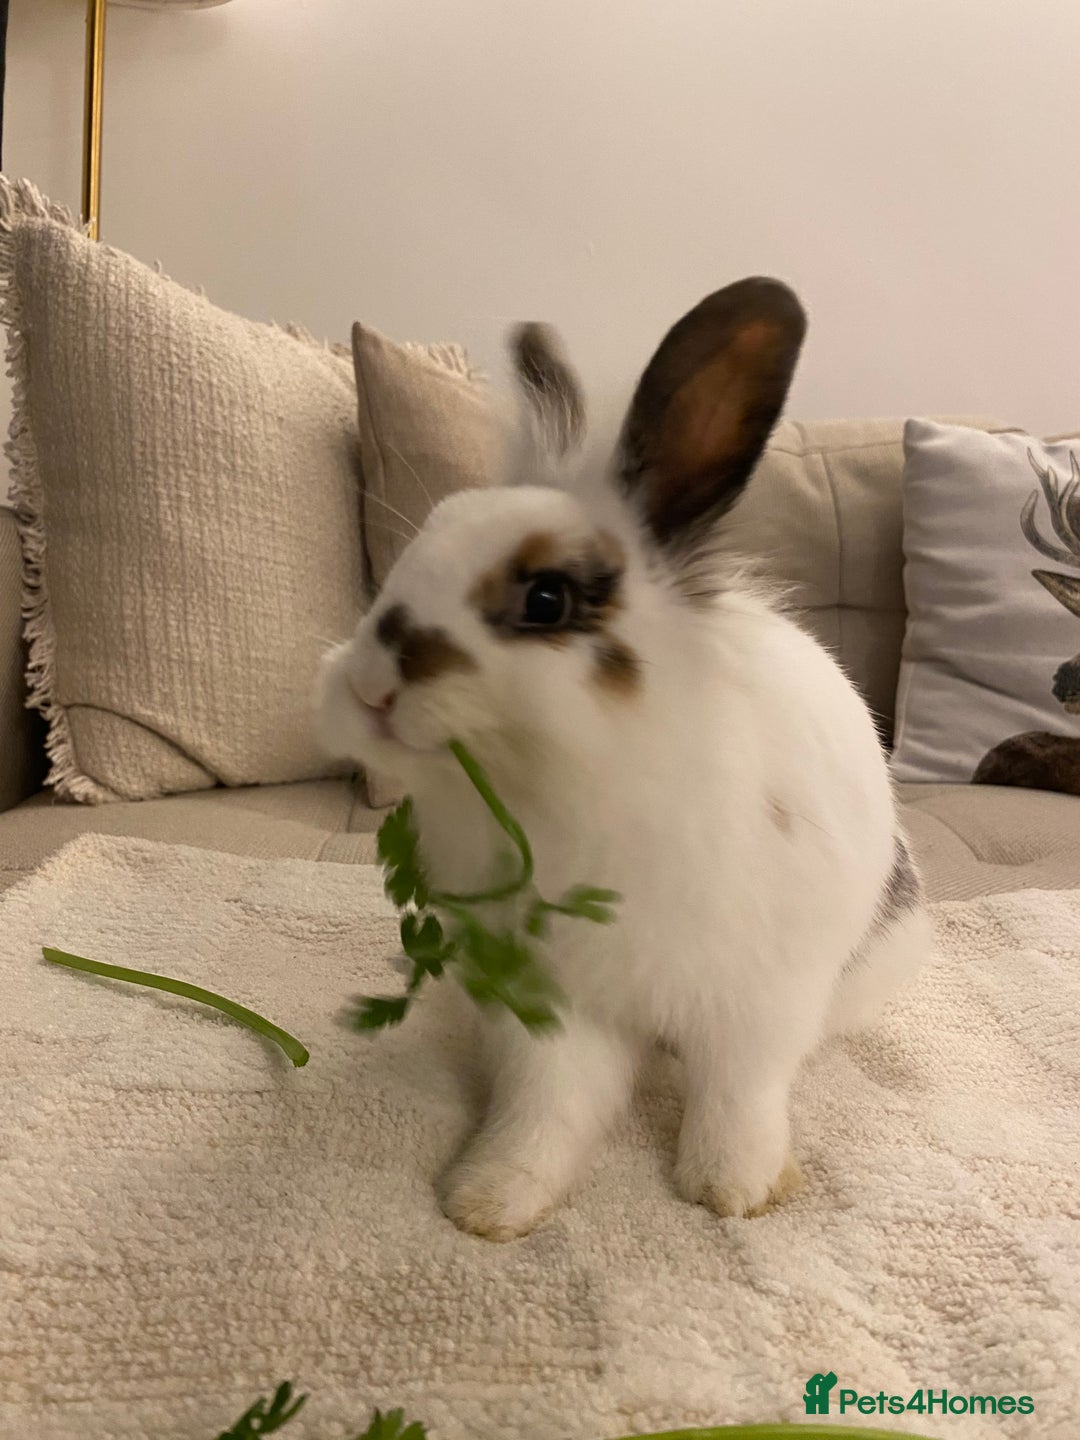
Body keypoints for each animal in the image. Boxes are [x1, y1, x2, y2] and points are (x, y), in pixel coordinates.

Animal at [316, 278, 931, 1241]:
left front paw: (735, 1189)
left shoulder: (760, 1000)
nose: (370, 687)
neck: (571, 792)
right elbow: (547, 1107)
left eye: (547, 599)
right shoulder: (549, 1005)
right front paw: (490, 1198)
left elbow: (739, 1097)